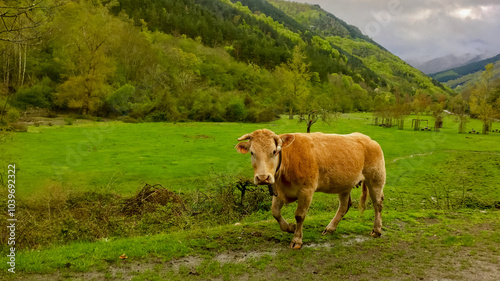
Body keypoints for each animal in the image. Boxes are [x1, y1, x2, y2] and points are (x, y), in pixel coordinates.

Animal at [236, 129, 384, 247]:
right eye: (252, 153)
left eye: (274, 151)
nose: (262, 178)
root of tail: (368, 139)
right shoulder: (280, 191)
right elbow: (275, 212)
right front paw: (290, 227)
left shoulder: (306, 191)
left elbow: (299, 215)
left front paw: (296, 240)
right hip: (344, 185)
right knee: (344, 206)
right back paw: (330, 228)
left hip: (376, 179)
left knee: (377, 204)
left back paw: (376, 230)